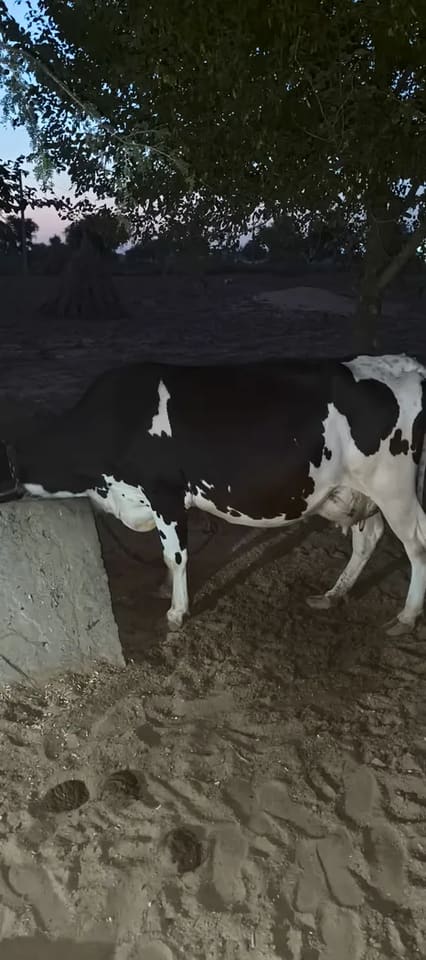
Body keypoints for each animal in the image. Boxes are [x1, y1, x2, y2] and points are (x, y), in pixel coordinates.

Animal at [1, 354, 426, 637]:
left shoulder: (165, 493)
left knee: (416, 544)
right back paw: (333, 594)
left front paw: (177, 611)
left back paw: (406, 617)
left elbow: (174, 556)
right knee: (368, 539)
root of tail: (407, 365)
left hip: (395, 489)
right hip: (365, 491)